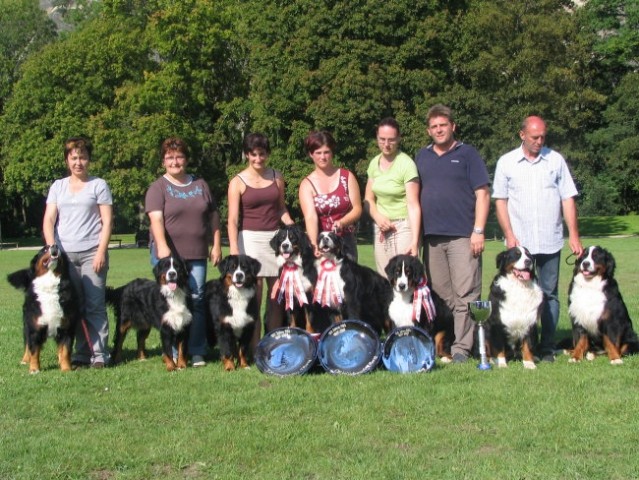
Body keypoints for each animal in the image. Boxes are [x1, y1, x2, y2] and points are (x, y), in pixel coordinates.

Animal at [7, 246, 79, 374]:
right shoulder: (34, 328)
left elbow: (65, 351)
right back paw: (25, 360)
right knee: (27, 344)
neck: (50, 285)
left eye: (59, 249)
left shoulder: (66, 328)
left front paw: (66, 368)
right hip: (26, 325)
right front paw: (34, 369)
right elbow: (34, 351)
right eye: (44, 249)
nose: (55, 246)